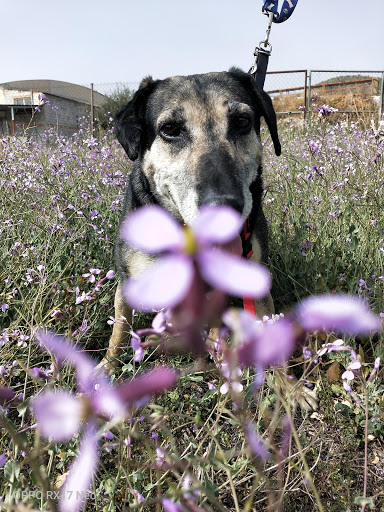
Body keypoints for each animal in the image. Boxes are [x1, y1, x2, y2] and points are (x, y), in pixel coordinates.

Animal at [99, 68, 280, 372]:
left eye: (242, 121)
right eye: (170, 129)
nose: (224, 208)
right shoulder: (128, 281)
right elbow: (120, 330)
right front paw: (106, 368)